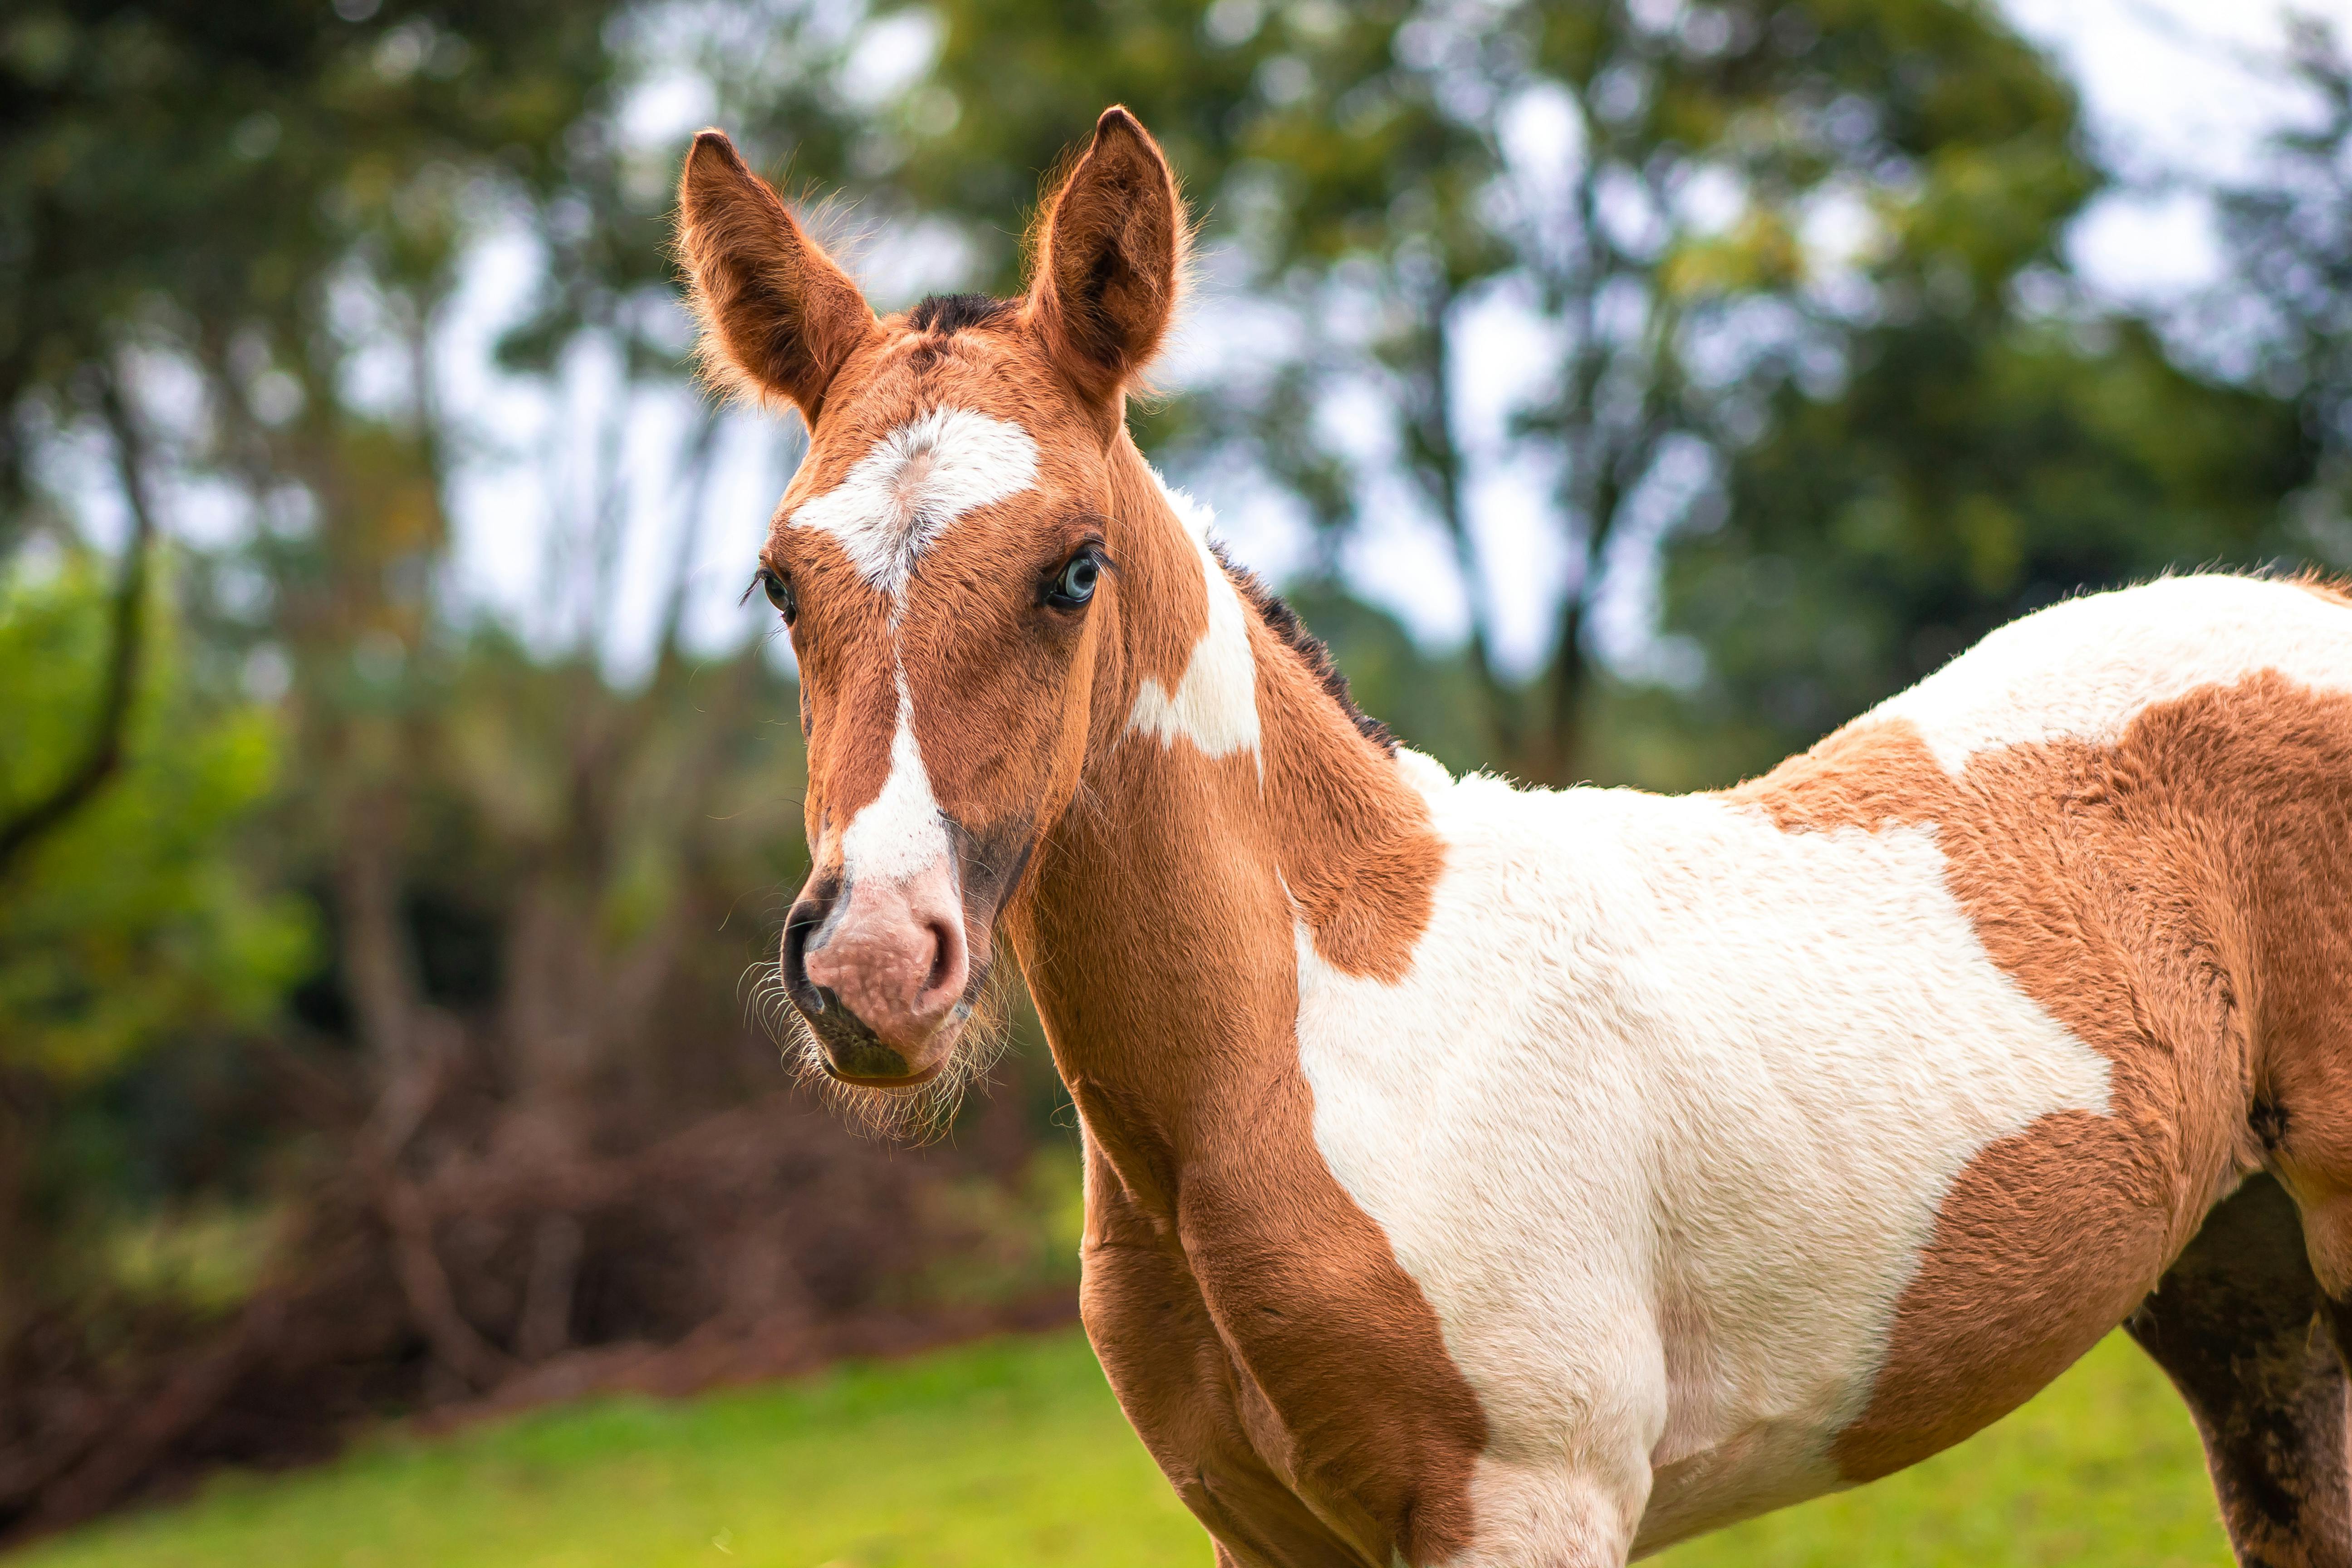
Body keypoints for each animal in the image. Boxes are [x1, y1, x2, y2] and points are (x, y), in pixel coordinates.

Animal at [676, 105, 2352, 1567]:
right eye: (778, 582)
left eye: (1074, 568)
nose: (873, 968)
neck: (1313, 1050)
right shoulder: (1263, 1536)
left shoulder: (1534, 1502)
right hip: (2246, 1303)